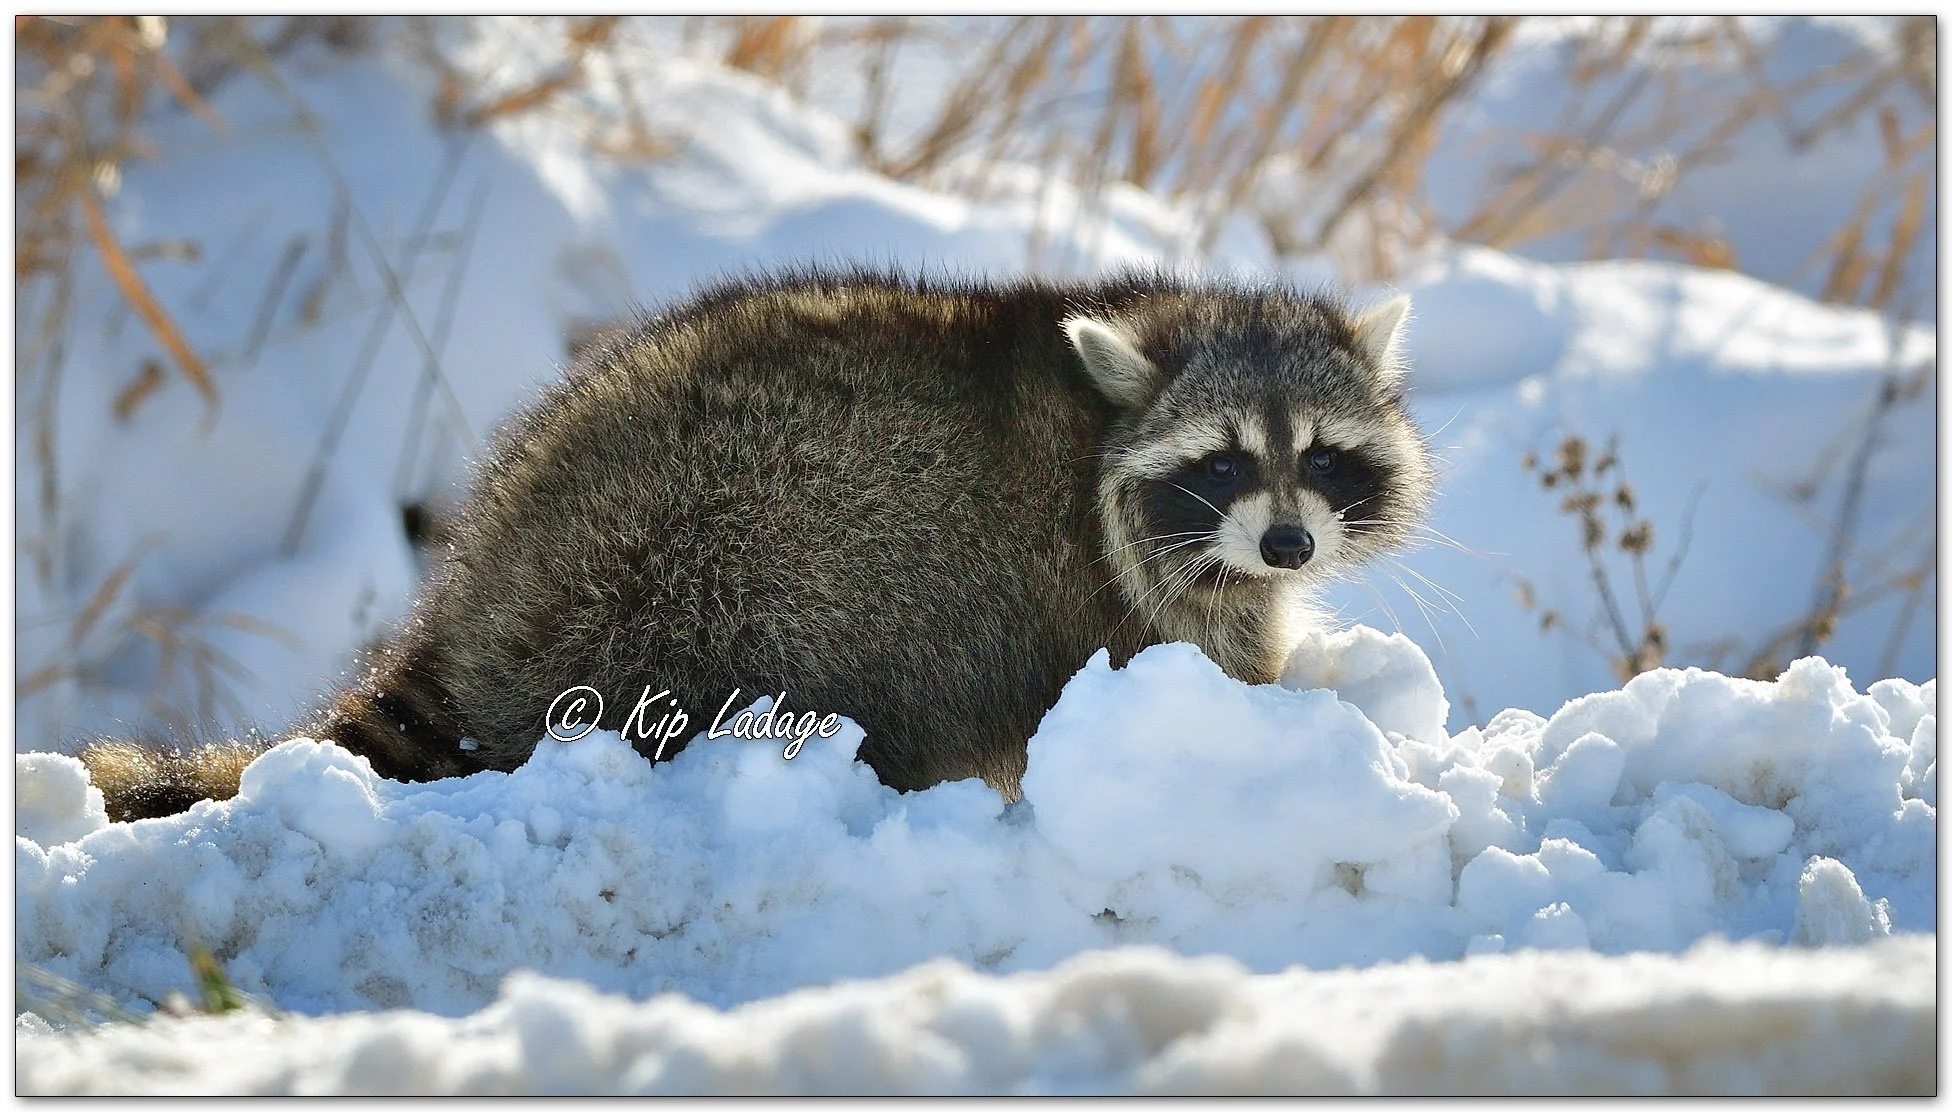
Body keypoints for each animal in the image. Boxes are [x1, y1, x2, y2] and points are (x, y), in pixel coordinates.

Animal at [82, 269, 1434, 819]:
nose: (1286, 545)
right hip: (702, 570)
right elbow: (1195, 666)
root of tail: (488, 575)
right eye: (1220, 462)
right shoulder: (1111, 591)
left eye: (1322, 457)